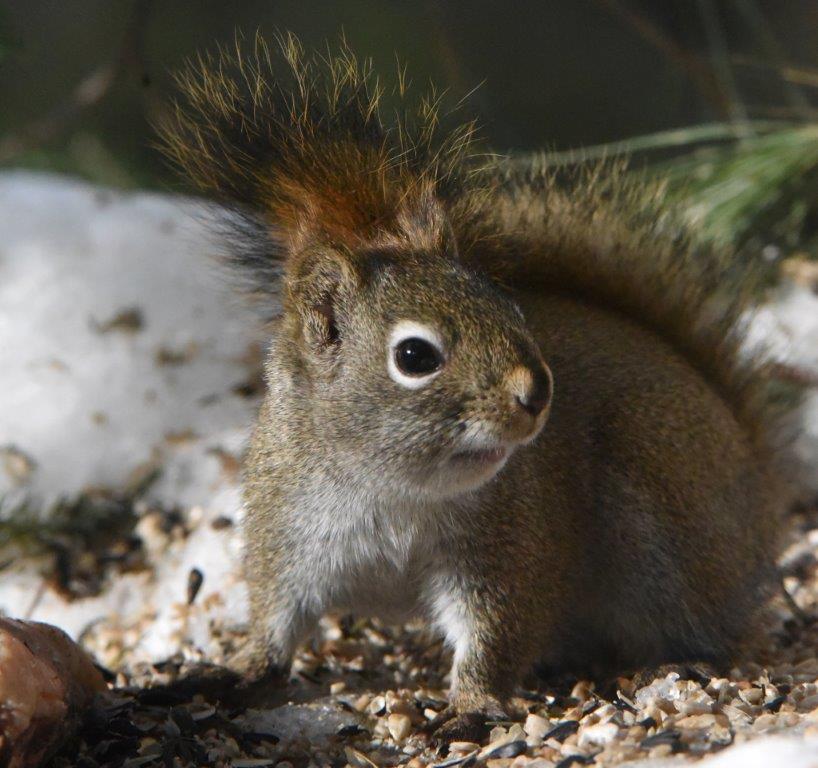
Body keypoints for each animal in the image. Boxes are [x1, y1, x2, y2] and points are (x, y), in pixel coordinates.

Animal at [158, 33, 791, 739]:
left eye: (512, 309)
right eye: (414, 356)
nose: (536, 395)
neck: (391, 491)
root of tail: (755, 480)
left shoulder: (509, 544)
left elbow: (496, 629)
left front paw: (472, 705)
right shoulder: (287, 534)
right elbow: (274, 620)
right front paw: (237, 671)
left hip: (666, 520)